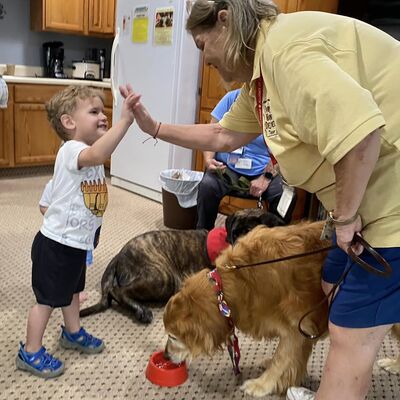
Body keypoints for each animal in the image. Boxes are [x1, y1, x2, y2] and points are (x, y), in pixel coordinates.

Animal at [80, 208, 284, 324]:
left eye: (250, 234)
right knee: (117, 291)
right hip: (162, 278)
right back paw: (141, 310)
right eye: (234, 234)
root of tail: (120, 254)